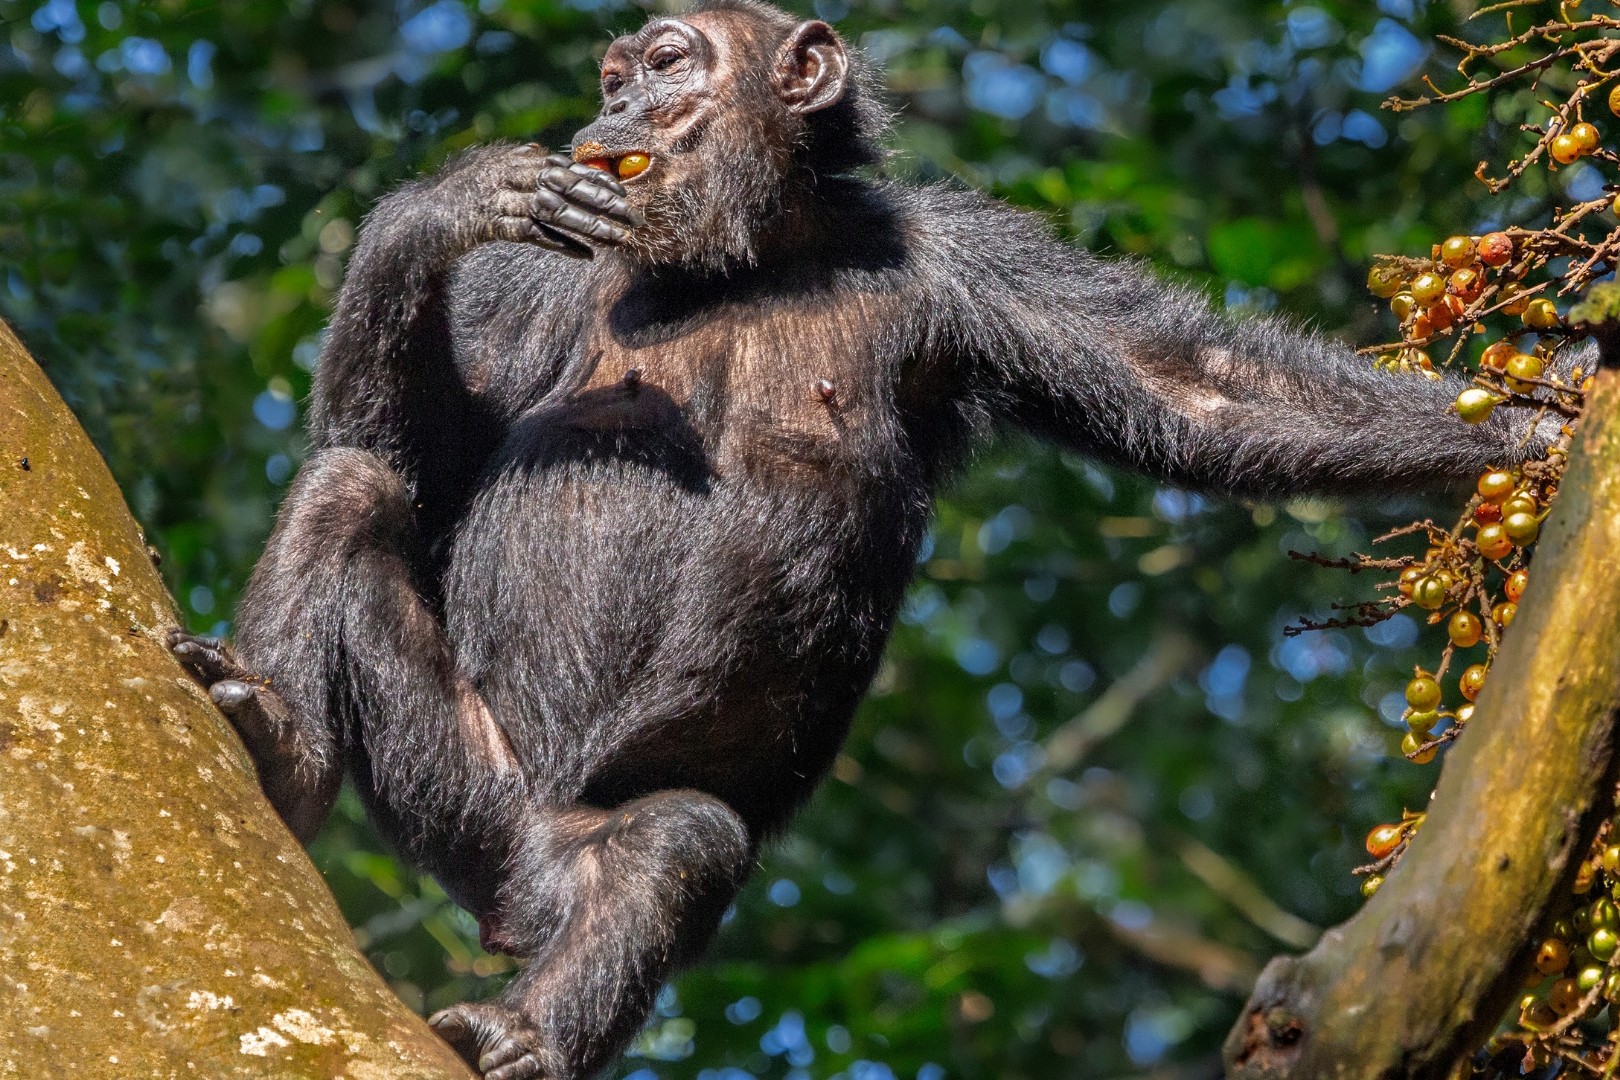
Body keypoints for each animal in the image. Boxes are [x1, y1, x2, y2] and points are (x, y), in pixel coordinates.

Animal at [170, 2, 1559, 1076]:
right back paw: (280, 746)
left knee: (674, 847)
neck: (749, 254)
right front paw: (445, 203)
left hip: (561, 853)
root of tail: (516, 891)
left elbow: (1199, 388)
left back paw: (530, 1033)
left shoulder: (967, 258)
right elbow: (411, 454)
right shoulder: (536, 282)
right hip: (460, 795)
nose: (619, 113)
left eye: (666, 61)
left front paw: (1546, 427)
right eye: (614, 79)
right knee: (349, 489)